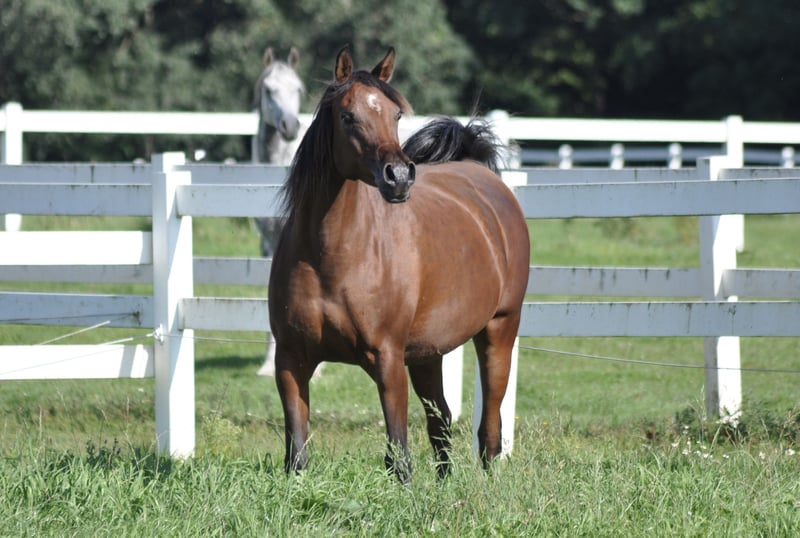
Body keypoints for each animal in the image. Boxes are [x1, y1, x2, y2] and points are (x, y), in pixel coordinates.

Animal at [268, 47, 530, 483]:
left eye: (395, 115)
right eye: (347, 115)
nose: (400, 176)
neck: (330, 258)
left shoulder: (387, 359)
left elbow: (398, 455)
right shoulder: (290, 360)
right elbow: (297, 454)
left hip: (499, 330)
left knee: (490, 427)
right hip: (428, 353)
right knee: (441, 419)